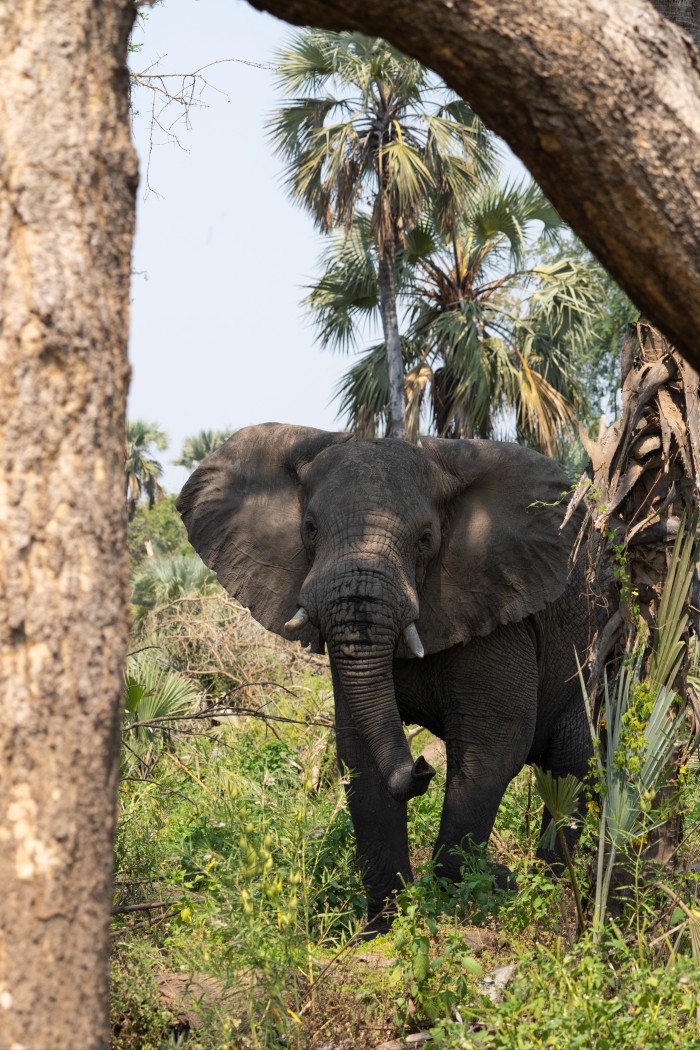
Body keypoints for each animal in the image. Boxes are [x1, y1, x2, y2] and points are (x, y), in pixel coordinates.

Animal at [178, 422, 596, 932]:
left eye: (425, 539)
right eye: (310, 529)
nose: (422, 766)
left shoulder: (501, 606)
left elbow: (492, 746)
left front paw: (475, 892)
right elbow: (358, 752)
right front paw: (380, 930)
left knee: (573, 768)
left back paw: (553, 891)